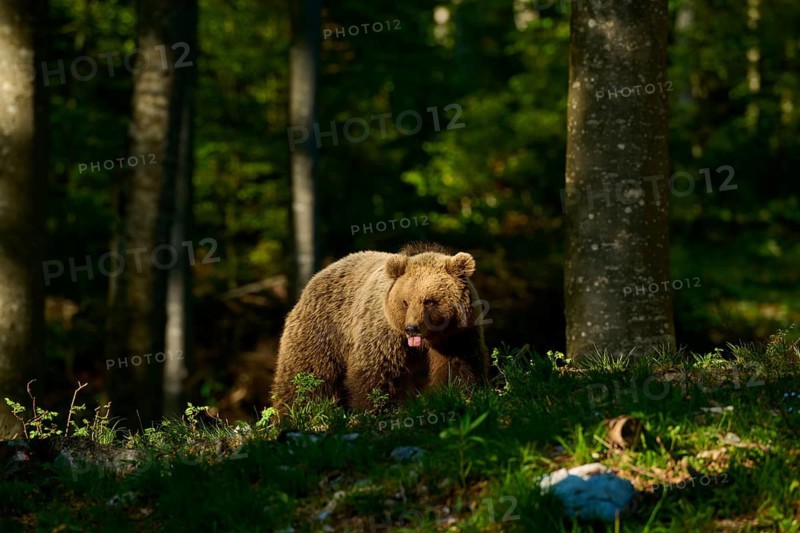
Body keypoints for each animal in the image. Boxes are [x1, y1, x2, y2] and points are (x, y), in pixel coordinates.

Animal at [271, 243, 488, 412]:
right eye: (405, 301)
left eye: (429, 300)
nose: (412, 328)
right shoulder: (385, 333)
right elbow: (376, 372)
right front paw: (376, 408)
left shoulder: (457, 335)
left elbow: (457, 367)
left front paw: (456, 395)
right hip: (323, 329)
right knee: (305, 375)